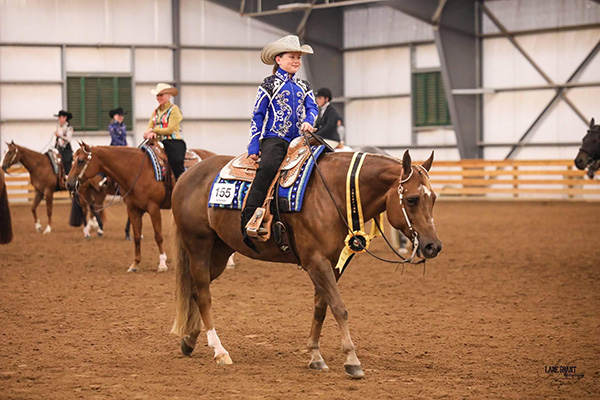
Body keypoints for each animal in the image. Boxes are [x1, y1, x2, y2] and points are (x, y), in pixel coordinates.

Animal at [66, 142, 216, 274]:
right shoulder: (133, 209)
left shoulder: (154, 208)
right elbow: (137, 236)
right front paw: (135, 264)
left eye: (80, 160)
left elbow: (158, 236)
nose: (68, 183)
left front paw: (162, 263)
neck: (137, 170)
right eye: (73, 159)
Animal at [169, 149, 440, 378]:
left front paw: (315, 356)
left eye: (434, 198)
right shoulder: (316, 262)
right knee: (204, 295)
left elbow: (321, 308)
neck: (334, 193)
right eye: (412, 199)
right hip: (199, 246)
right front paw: (352, 360)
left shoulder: (333, 263)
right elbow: (339, 308)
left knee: (195, 291)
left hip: (220, 252)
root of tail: (187, 175)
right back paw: (219, 350)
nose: (433, 246)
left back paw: (190, 340)